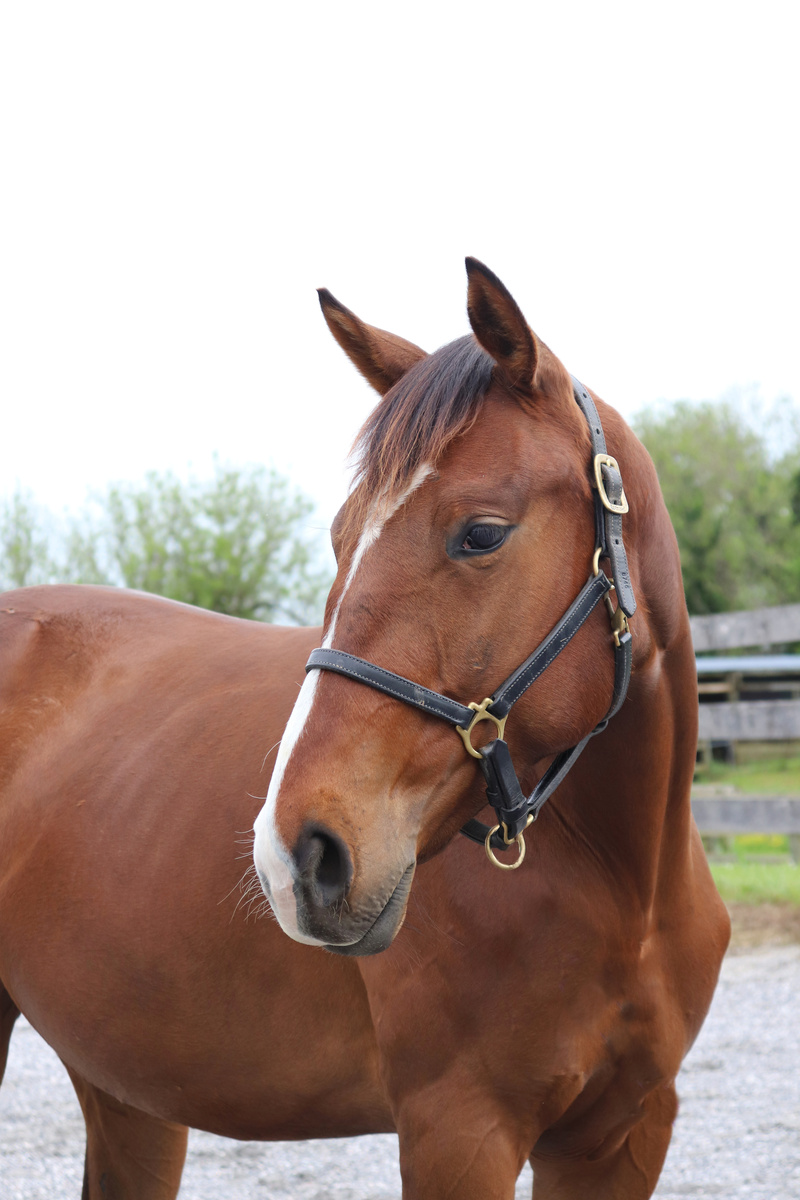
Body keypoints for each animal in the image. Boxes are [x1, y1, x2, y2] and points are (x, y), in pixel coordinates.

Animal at [0, 259, 729, 1199]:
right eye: (340, 537)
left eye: (481, 533)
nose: (295, 856)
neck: (626, 884)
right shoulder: (460, 1130)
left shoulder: (624, 1135)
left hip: (127, 1088)